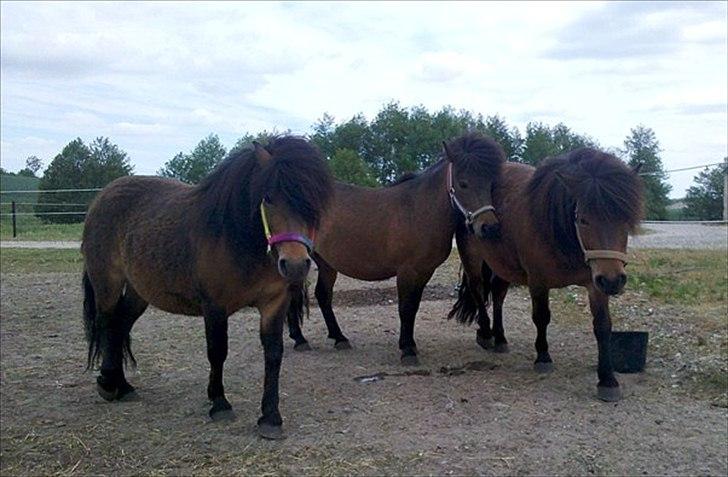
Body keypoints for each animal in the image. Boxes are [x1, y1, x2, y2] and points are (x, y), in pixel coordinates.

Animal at [81, 136, 332, 436]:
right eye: (269, 197)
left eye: (314, 202)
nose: (294, 265)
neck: (235, 237)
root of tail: (101, 197)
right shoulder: (215, 305)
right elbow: (217, 351)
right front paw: (220, 403)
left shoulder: (274, 303)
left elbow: (273, 353)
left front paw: (270, 417)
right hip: (107, 282)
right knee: (107, 323)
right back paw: (108, 384)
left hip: (138, 291)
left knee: (120, 325)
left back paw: (124, 385)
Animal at [288, 132, 504, 362]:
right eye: (463, 183)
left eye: (491, 183)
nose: (489, 227)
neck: (418, 210)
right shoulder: (406, 271)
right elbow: (405, 308)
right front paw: (407, 349)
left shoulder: (424, 271)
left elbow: (413, 307)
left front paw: (410, 344)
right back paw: (300, 339)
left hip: (326, 263)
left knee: (322, 295)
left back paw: (338, 338)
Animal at [450, 147, 644, 400]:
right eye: (583, 219)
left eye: (625, 219)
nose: (613, 281)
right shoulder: (538, 281)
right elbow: (541, 317)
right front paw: (543, 357)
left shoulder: (595, 283)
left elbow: (603, 326)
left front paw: (607, 380)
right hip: (473, 258)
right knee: (478, 291)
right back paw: (485, 334)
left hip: (503, 265)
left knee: (498, 295)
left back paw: (500, 338)